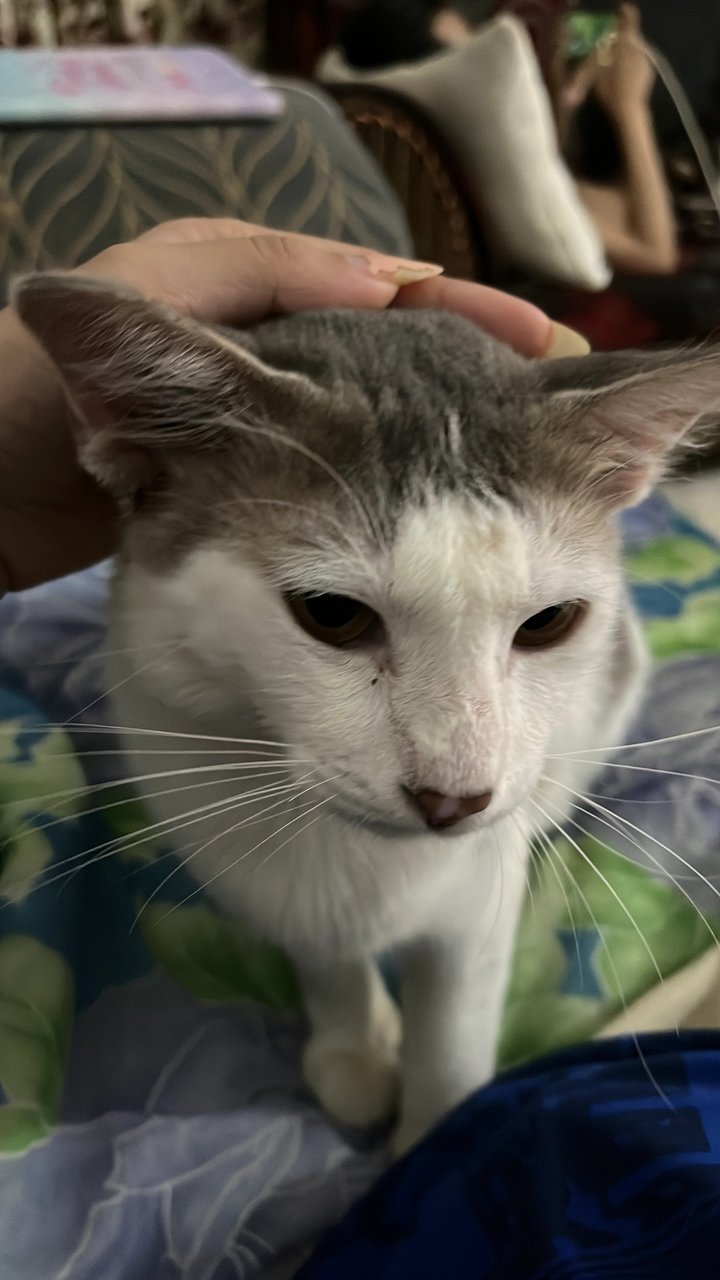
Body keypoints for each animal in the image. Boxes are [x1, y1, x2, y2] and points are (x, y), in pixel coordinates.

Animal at [12, 275, 717, 1157]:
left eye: (549, 623)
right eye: (332, 614)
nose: (453, 797)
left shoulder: (477, 905)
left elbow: (450, 1035)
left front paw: (429, 1143)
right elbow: (322, 952)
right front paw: (353, 1044)